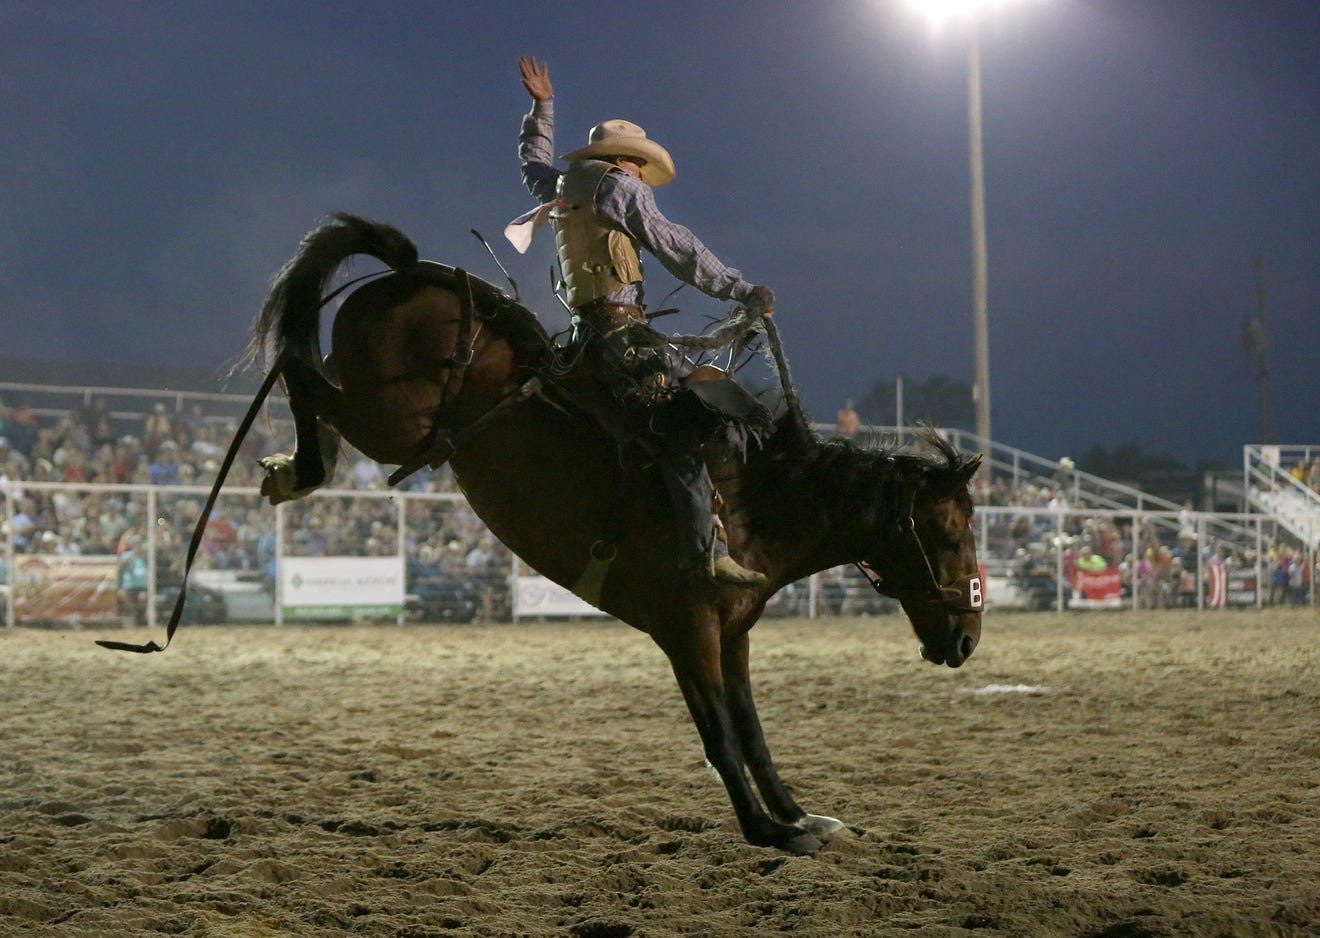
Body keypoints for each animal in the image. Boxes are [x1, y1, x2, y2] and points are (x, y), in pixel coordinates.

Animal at [252, 215, 987, 860]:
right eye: (952, 537)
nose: (967, 641)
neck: (751, 505)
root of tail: (416, 272)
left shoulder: (734, 632)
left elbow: (751, 731)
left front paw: (800, 816)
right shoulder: (687, 628)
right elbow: (719, 734)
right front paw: (770, 832)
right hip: (392, 421)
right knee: (303, 374)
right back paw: (296, 469)